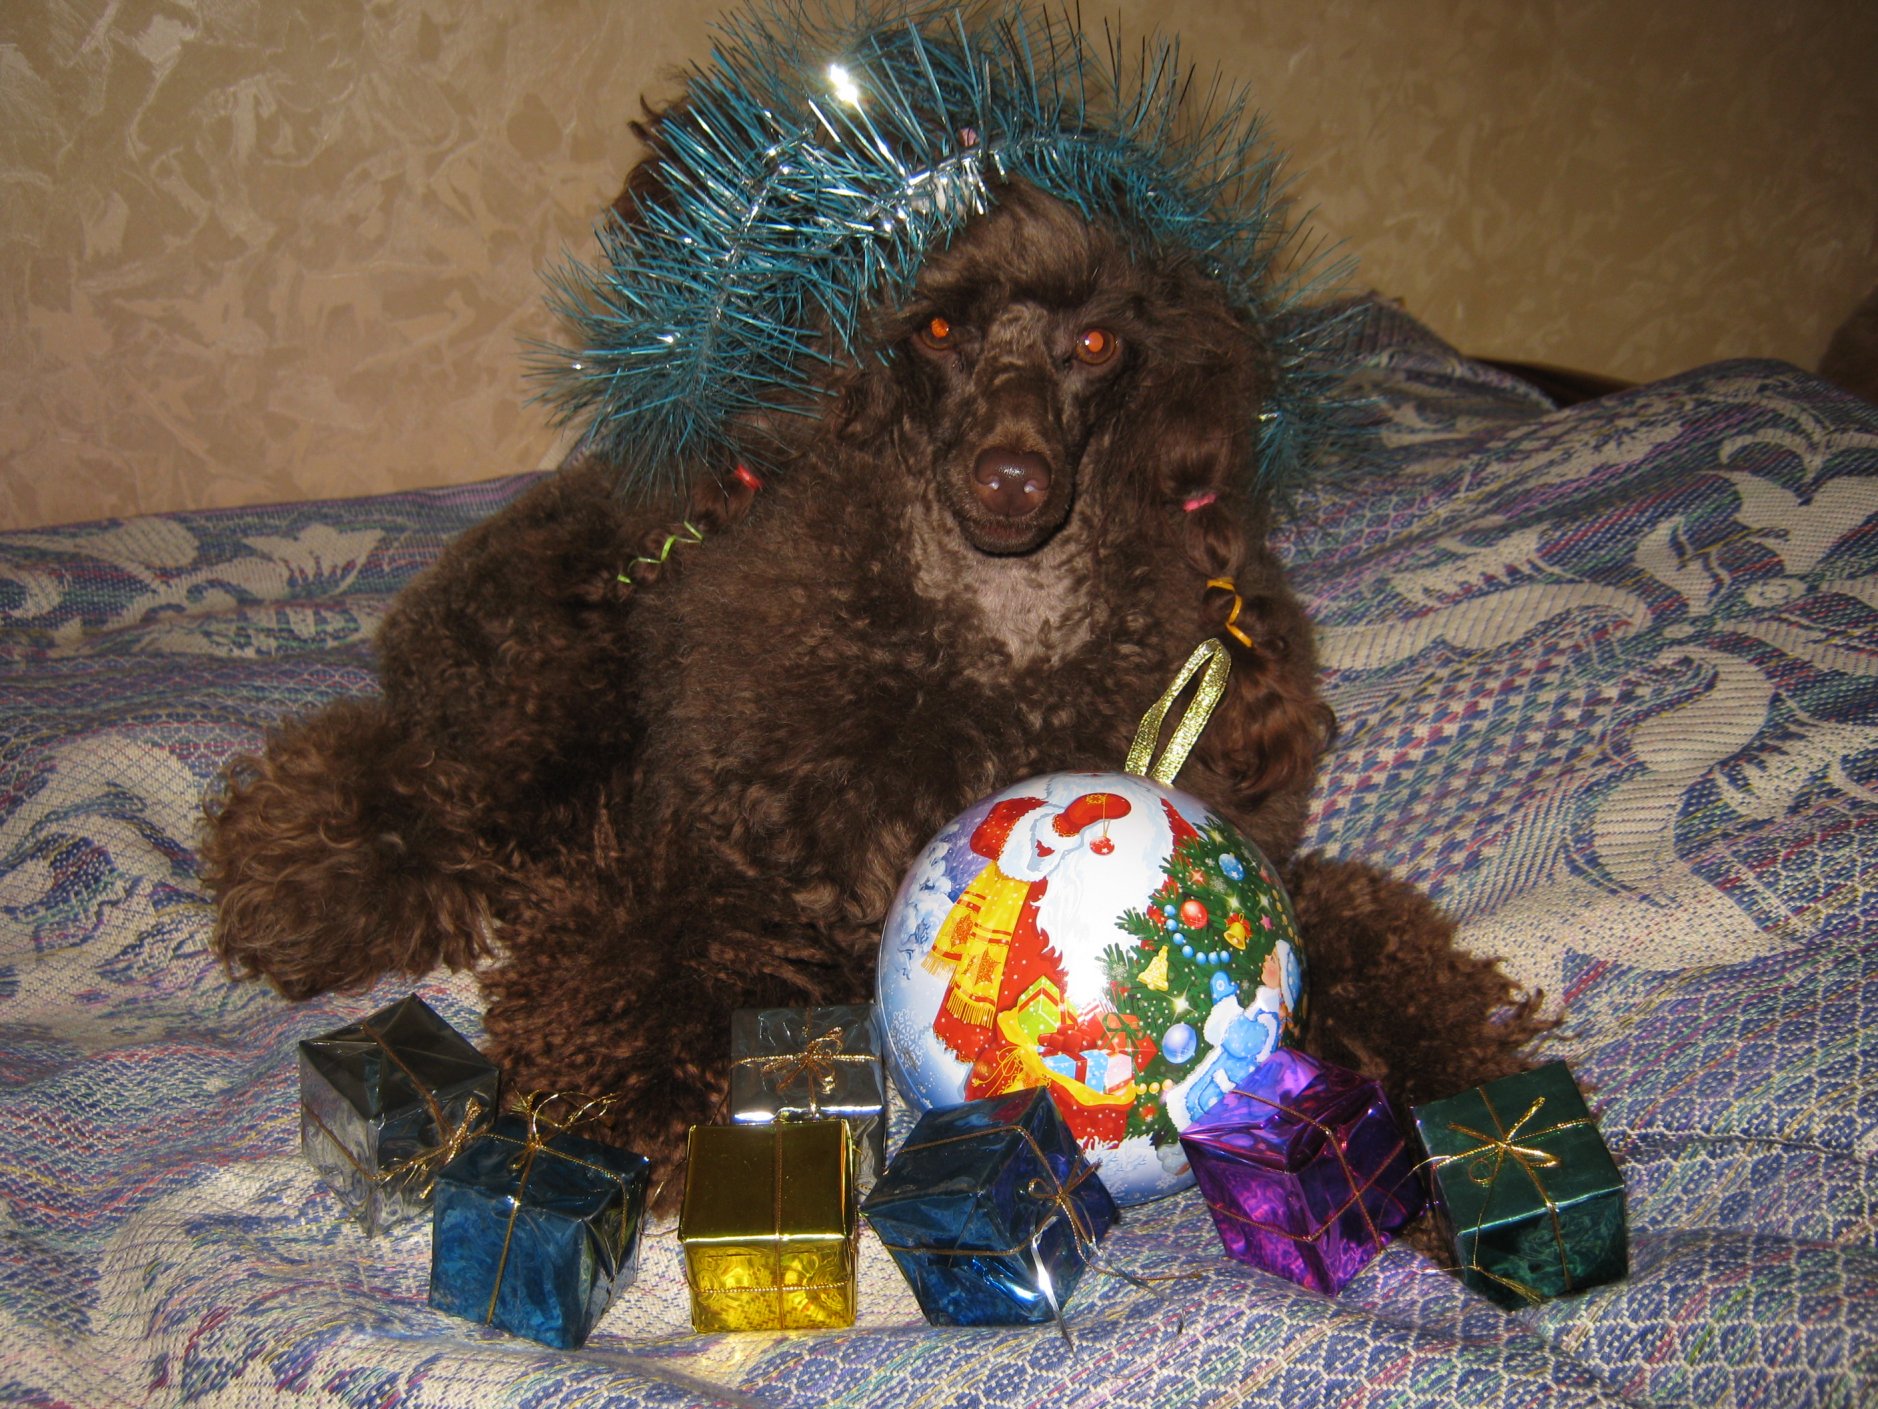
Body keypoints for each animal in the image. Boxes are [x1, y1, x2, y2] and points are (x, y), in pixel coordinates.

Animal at [202, 141, 1544, 1207]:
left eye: (1096, 340)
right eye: (938, 329)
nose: (1011, 474)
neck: (999, 636)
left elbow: (1364, 942)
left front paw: (1467, 1101)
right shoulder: (708, 855)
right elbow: (650, 953)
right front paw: (660, 1096)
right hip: (546, 707)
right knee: (400, 787)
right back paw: (306, 893)